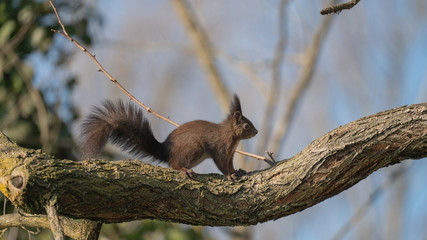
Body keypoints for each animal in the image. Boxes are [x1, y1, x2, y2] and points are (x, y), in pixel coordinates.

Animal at [79, 94, 260, 179]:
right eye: (246, 125)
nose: (256, 132)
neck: (231, 137)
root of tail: (165, 151)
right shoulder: (221, 148)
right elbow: (222, 164)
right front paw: (229, 175)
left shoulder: (230, 153)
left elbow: (229, 164)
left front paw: (237, 171)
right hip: (193, 148)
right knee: (173, 164)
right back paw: (184, 170)